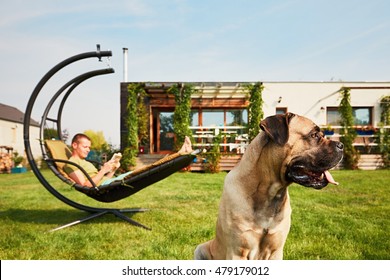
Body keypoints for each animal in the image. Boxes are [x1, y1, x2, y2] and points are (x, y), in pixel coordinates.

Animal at [193, 112, 342, 260]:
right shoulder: (237, 251)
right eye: (314, 135)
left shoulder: (276, 250)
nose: (341, 145)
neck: (270, 193)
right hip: (200, 248)